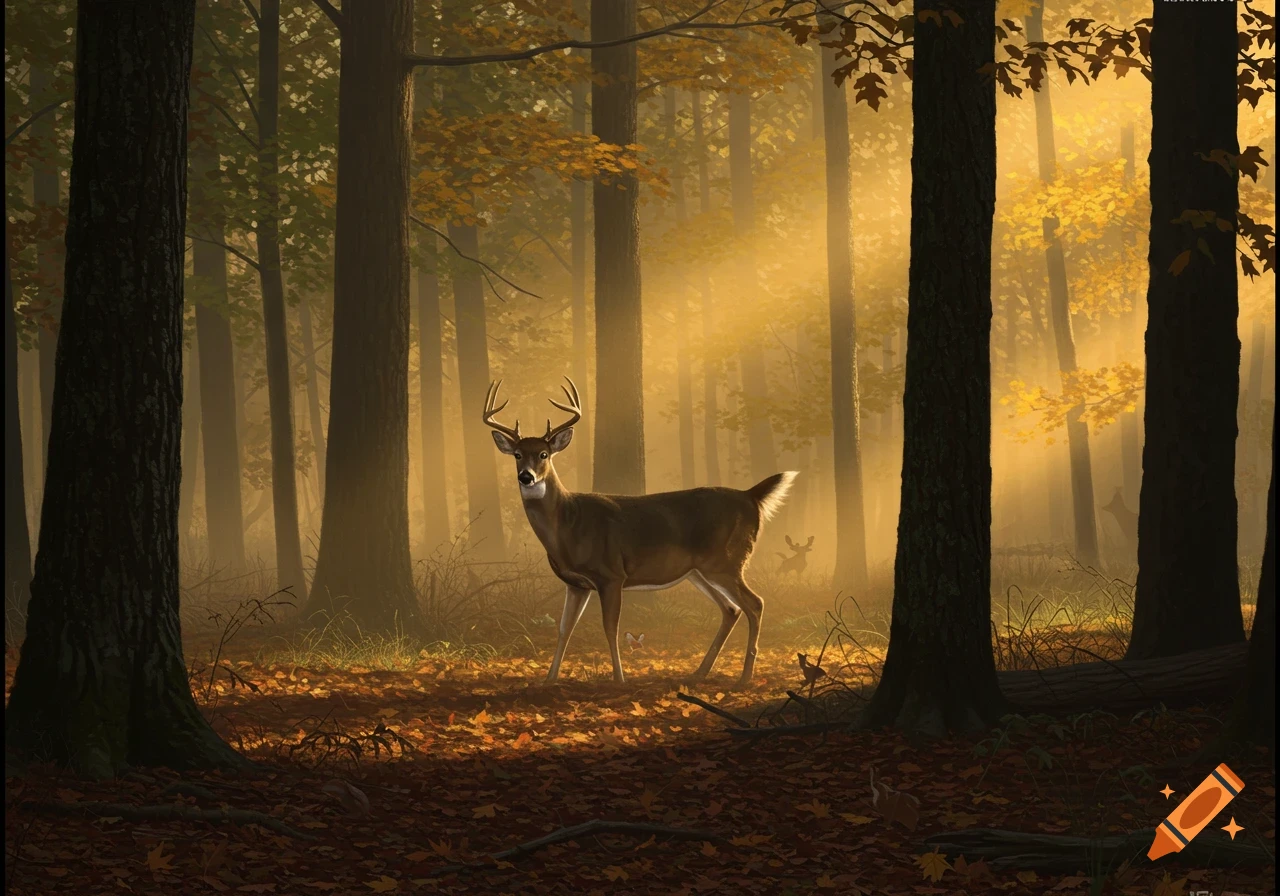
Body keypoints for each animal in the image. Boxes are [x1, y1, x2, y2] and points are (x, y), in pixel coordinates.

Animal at [485, 377, 797, 689]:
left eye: (544, 454)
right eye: (517, 454)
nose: (526, 476)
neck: (569, 523)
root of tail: (750, 496)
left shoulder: (611, 574)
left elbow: (610, 627)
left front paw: (619, 678)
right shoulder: (575, 583)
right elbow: (565, 629)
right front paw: (549, 679)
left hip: (726, 560)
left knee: (755, 603)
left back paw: (745, 677)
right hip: (699, 571)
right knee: (731, 609)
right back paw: (699, 672)